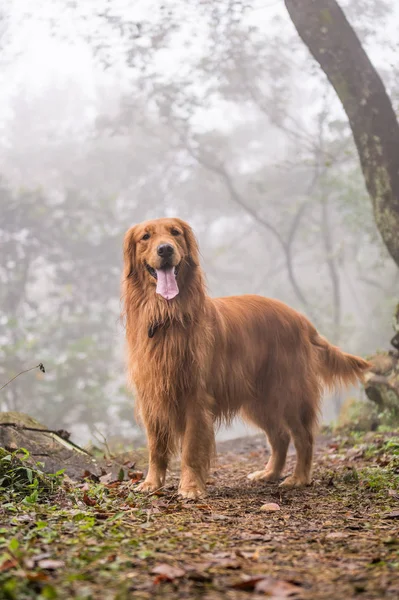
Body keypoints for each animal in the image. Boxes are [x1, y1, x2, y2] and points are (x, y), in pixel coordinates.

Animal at [122, 218, 372, 500]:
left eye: (175, 233)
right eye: (145, 237)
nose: (165, 249)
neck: (166, 317)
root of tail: (300, 318)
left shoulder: (195, 398)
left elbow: (191, 449)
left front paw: (190, 487)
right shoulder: (151, 398)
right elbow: (155, 448)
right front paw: (151, 483)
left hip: (289, 394)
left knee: (304, 437)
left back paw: (299, 478)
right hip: (260, 401)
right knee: (280, 437)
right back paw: (269, 473)